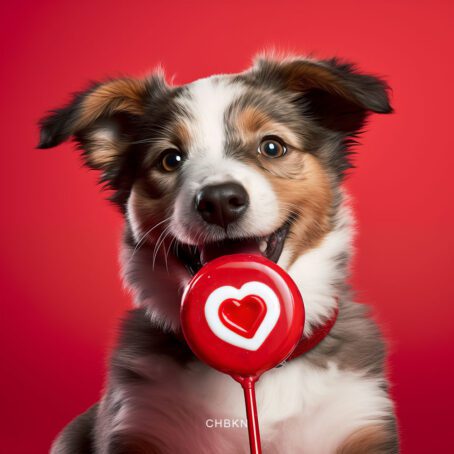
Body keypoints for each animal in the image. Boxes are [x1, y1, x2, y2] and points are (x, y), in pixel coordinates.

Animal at [39, 54, 398, 454]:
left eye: (272, 147)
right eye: (170, 159)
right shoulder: (137, 423)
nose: (220, 201)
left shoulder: (362, 422)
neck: (254, 373)